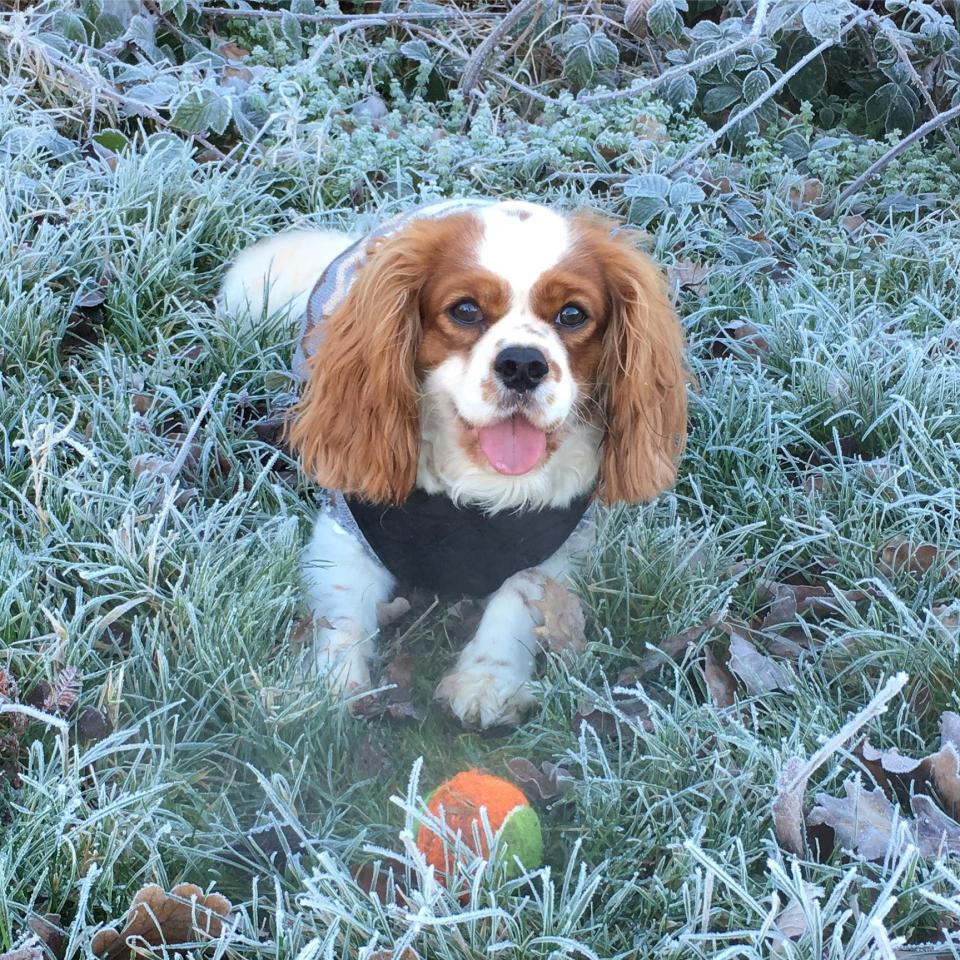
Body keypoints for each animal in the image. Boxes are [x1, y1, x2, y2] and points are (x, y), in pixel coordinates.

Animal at [219, 197, 688, 728]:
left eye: (572, 314)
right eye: (465, 310)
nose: (523, 364)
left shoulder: (562, 545)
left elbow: (520, 597)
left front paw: (487, 681)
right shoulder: (344, 533)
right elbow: (341, 615)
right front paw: (328, 689)